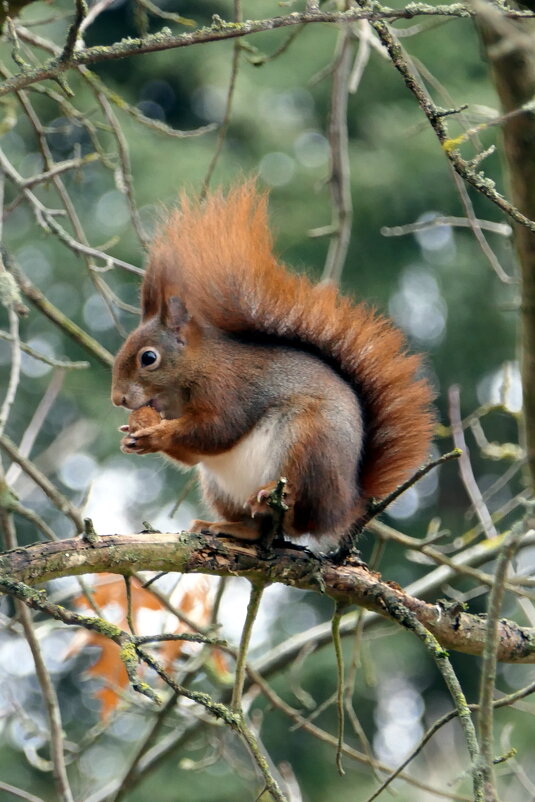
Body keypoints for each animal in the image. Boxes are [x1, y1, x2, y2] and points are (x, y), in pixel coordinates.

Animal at [111, 182, 434, 544]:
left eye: (148, 358)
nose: (118, 399)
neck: (195, 371)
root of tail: (342, 509)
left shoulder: (228, 387)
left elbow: (217, 430)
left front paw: (155, 435)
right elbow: (194, 453)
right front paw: (131, 435)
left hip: (310, 441)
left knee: (297, 510)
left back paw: (277, 496)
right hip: (219, 486)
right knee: (258, 526)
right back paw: (228, 526)